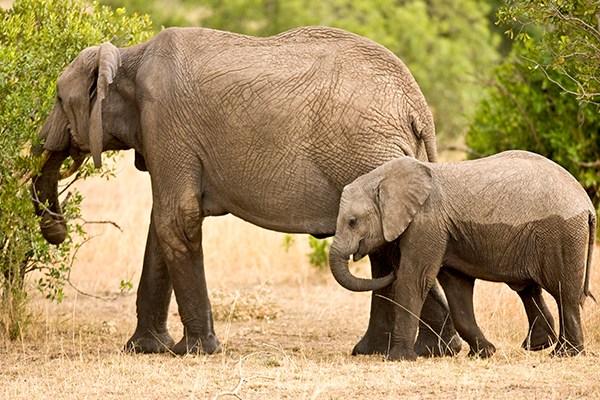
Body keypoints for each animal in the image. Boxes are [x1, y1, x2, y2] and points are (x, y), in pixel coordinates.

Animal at [29, 26, 548, 354]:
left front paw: (193, 352)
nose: (56, 231)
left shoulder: (165, 123)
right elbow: (164, 225)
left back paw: (426, 351)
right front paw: (143, 350)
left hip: (367, 149)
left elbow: (177, 218)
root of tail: (416, 103)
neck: (127, 55)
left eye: (56, 98)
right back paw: (404, 350)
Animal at [330, 151, 592, 362]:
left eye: (352, 221)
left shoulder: (427, 223)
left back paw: (565, 354)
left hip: (562, 235)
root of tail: (586, 203)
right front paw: (484, 353)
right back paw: (543, 347)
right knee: (534, 290)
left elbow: (414, 279)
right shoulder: (446, 232)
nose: (390, 267)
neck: (383, 178)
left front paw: (398, 359)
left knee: (564, 293)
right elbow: (457, 289)